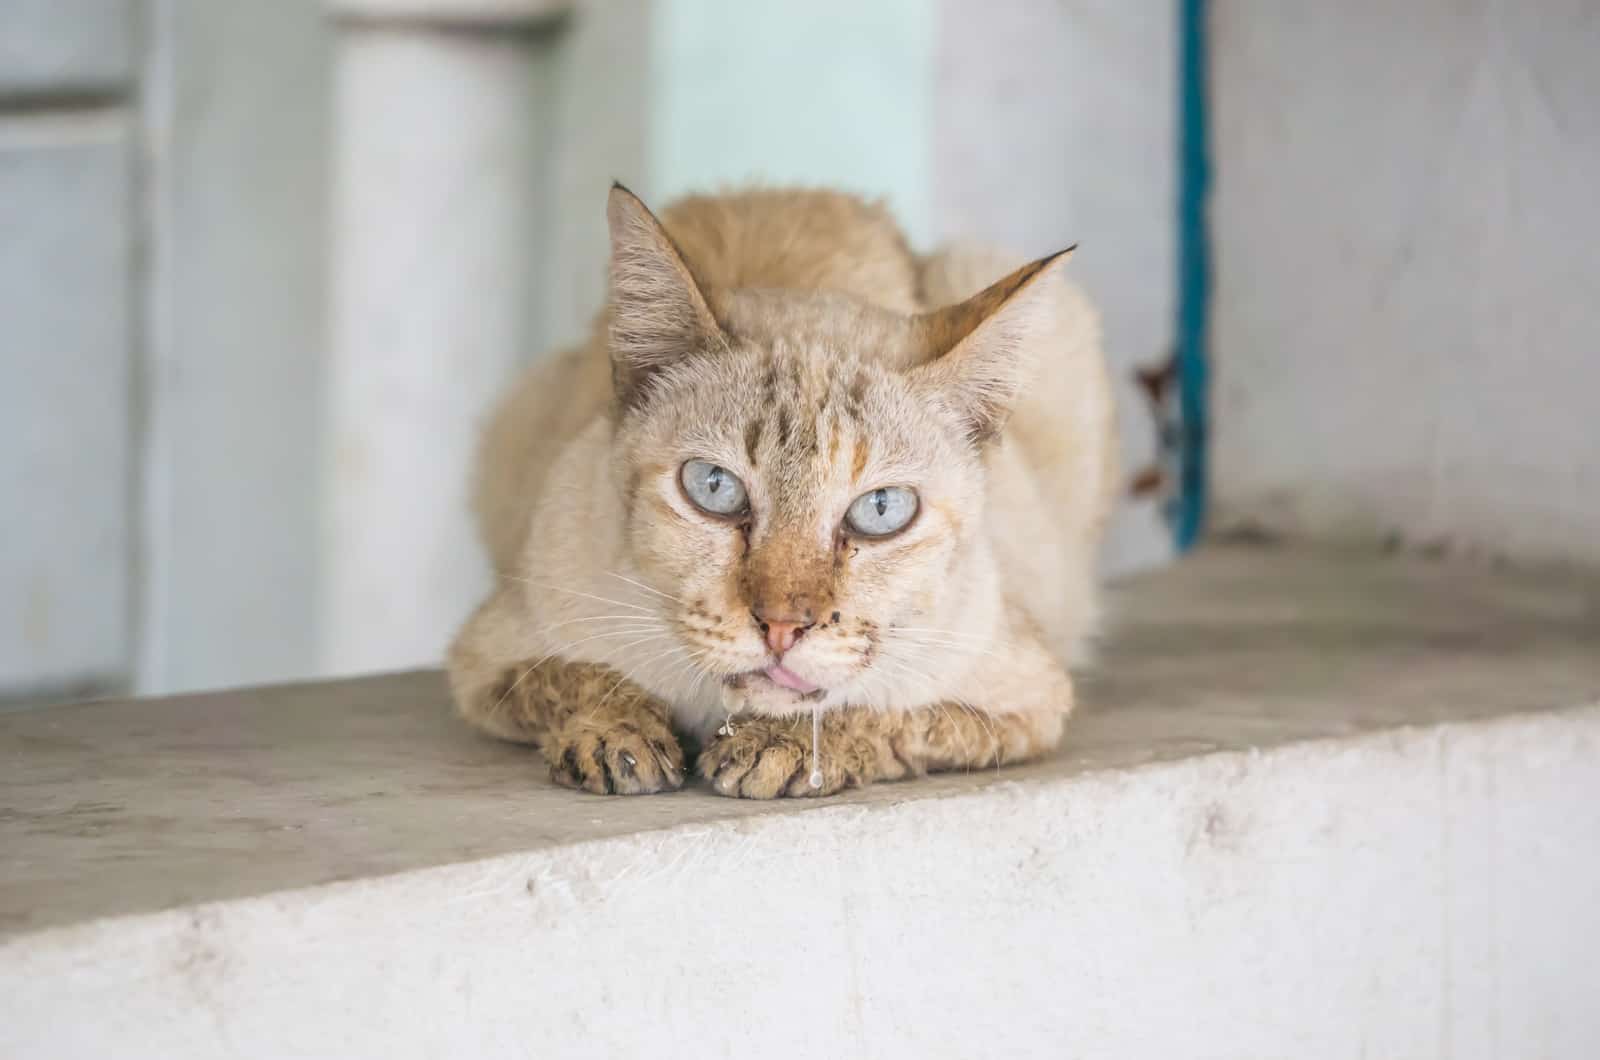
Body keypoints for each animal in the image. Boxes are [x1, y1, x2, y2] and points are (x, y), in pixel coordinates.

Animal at [444, 184, 1120, 797]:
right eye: (714, 487)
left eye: (881, 510)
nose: (781, 628)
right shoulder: (486, 658)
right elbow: (579, 679)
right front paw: (620, 737)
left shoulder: (1029, 699)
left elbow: (880, 712)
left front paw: (777, 747)